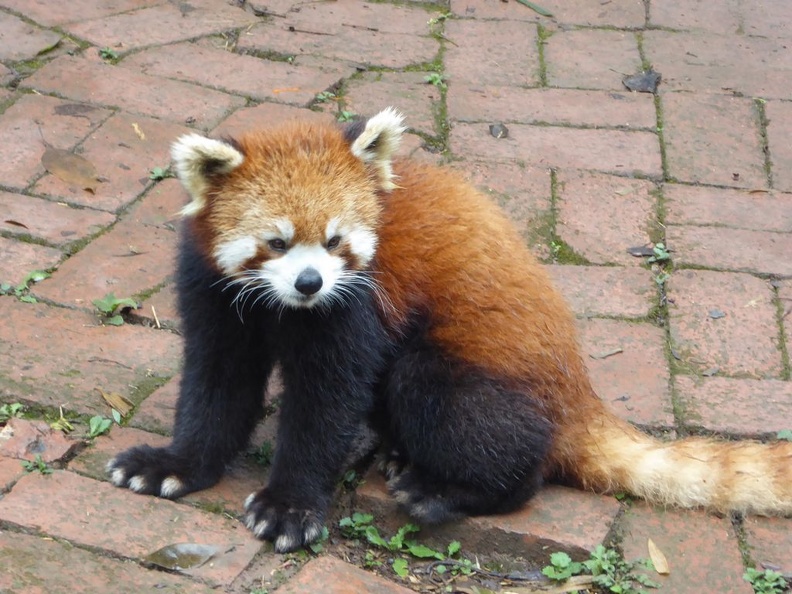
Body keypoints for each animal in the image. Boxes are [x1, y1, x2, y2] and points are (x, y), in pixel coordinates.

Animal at [108, 105, 792, 552]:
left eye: (335, 241)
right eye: (276, 243)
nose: (310, 283)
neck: (282, 309)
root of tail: (579, 394)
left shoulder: (358, 305)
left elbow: (326, 404)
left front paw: (290, 506)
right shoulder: (218, 297)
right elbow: (216, 385)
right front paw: (174, 464)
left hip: (478, 374)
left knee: (460, 412)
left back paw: (446, 488)